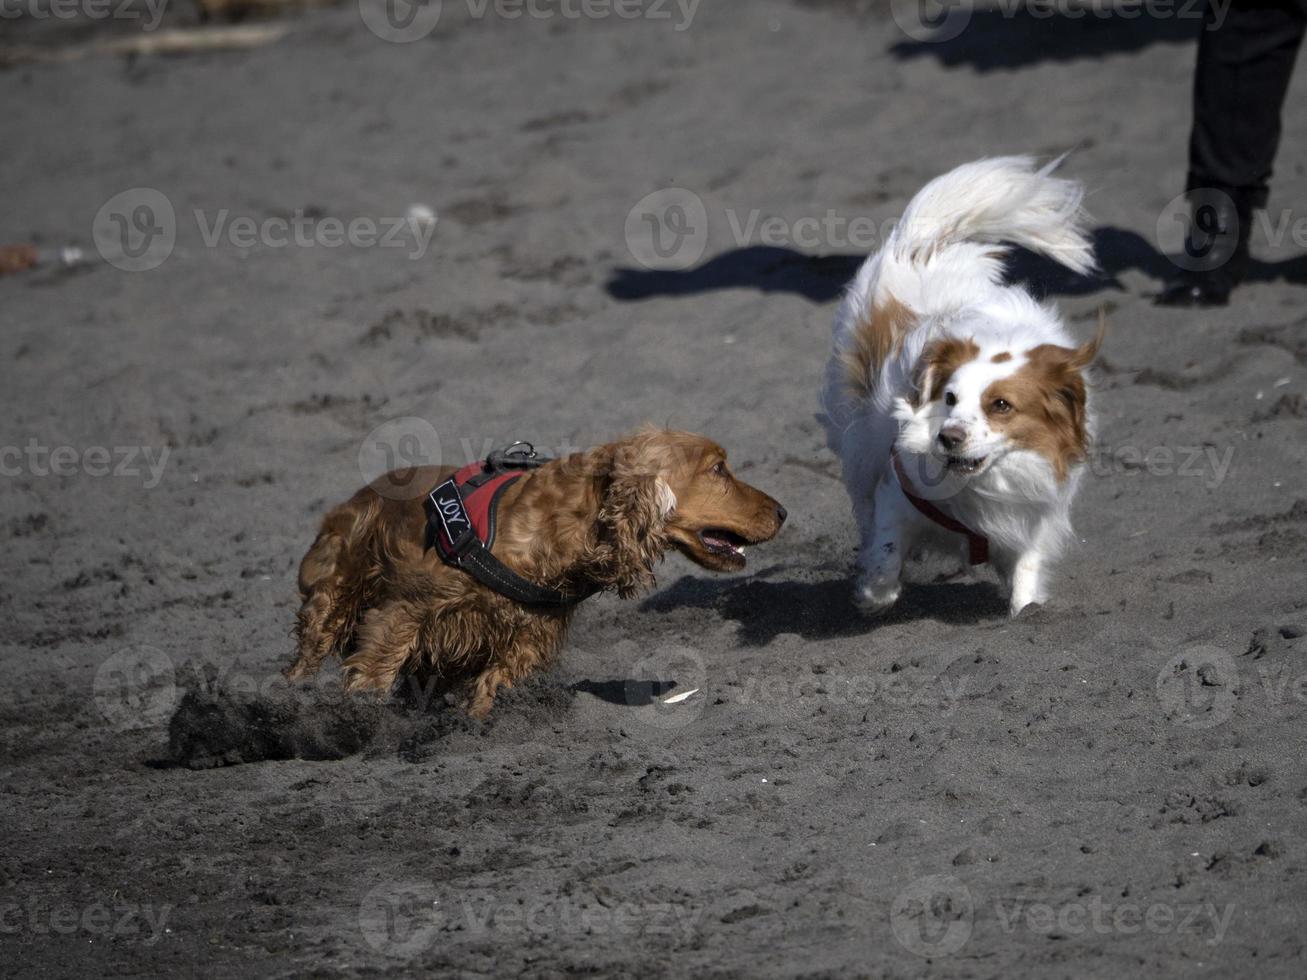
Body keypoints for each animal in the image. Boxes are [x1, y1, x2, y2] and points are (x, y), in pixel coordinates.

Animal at [826, 157, 1103, 616]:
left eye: (1001, 405)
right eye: (949, 398)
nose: (948, 437)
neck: (980, 482)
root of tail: (922, 248)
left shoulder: (1033, 516)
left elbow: (1027, 567)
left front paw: (1025, 608)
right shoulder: (899, 491)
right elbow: (886, 552)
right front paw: (873, 595)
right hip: (860, 442)